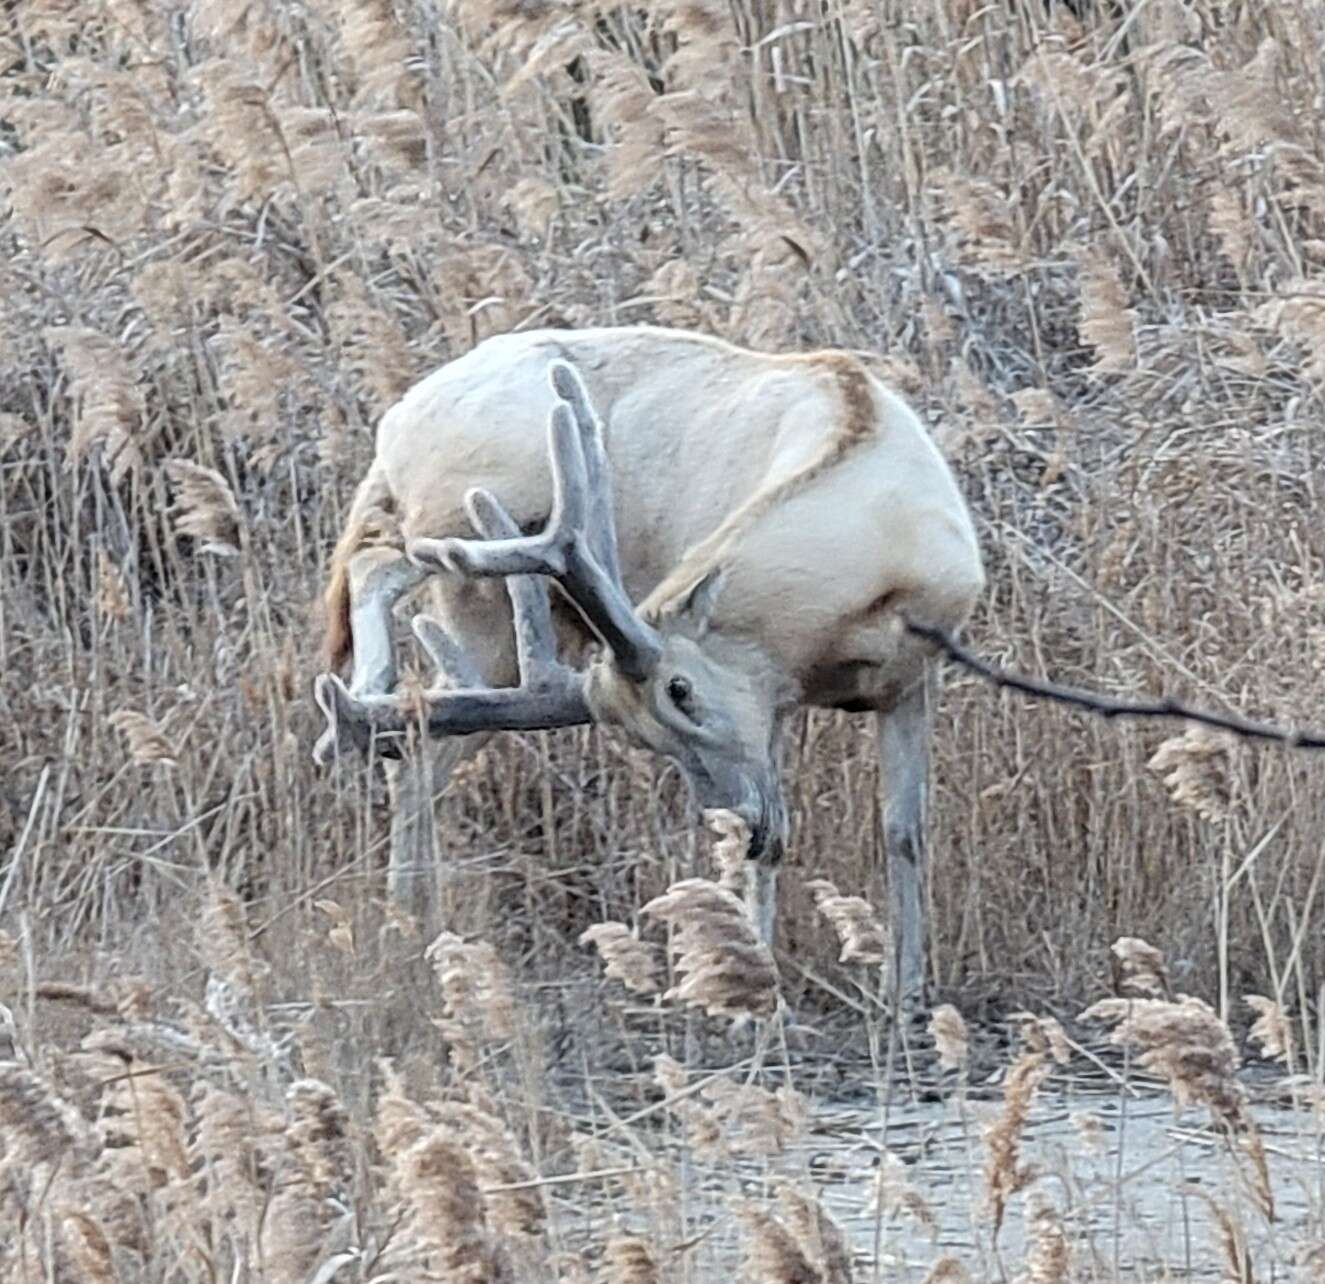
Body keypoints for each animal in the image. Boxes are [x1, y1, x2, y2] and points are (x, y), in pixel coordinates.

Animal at [310, 323, 985, 1001]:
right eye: (644, 738)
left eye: (681, 690)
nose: (743, 822)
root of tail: (395, 426)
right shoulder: (772, 686)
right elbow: (780, 849)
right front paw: (760, 989)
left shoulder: (910, 674)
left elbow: (904, 833)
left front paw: (907, 995)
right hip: (478, 584)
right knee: (408, 700)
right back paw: (401, 921)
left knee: (408, 715)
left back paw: (407, 916)